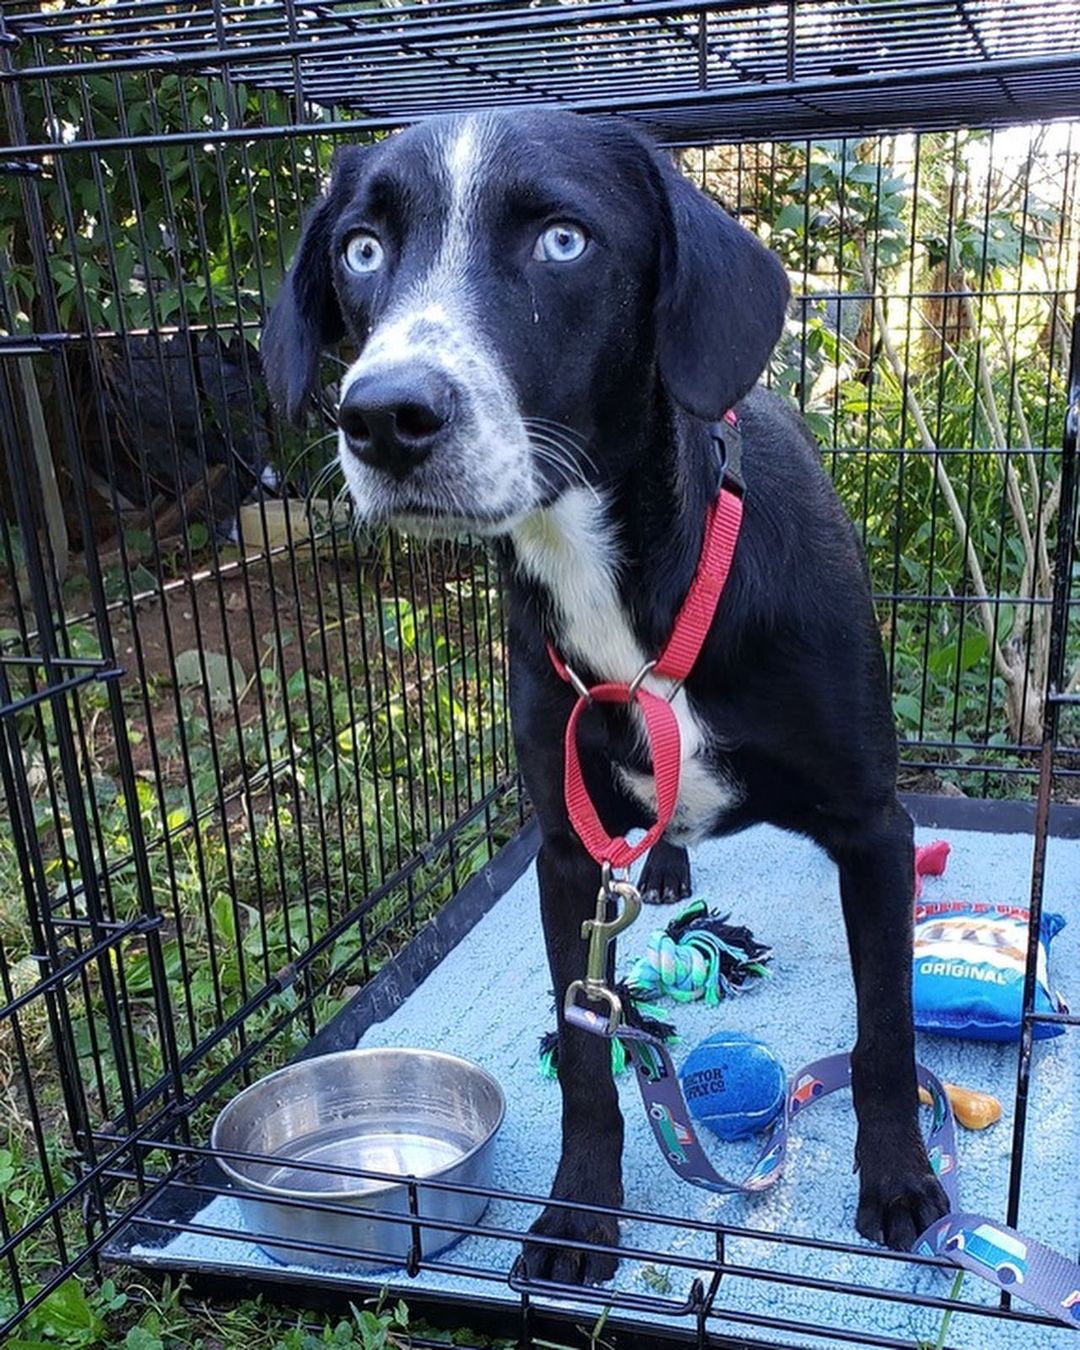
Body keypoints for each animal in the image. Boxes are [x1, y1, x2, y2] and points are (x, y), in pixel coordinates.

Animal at [265, 108, 950, 1285]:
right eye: (360, 249)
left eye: (563, 240)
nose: (385, 417)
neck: (612, 580)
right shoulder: (564, 849)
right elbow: (588, 1060)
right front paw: (580, 1211)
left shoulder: (875, 827)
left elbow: (887, 1027)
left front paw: (901, 1182)